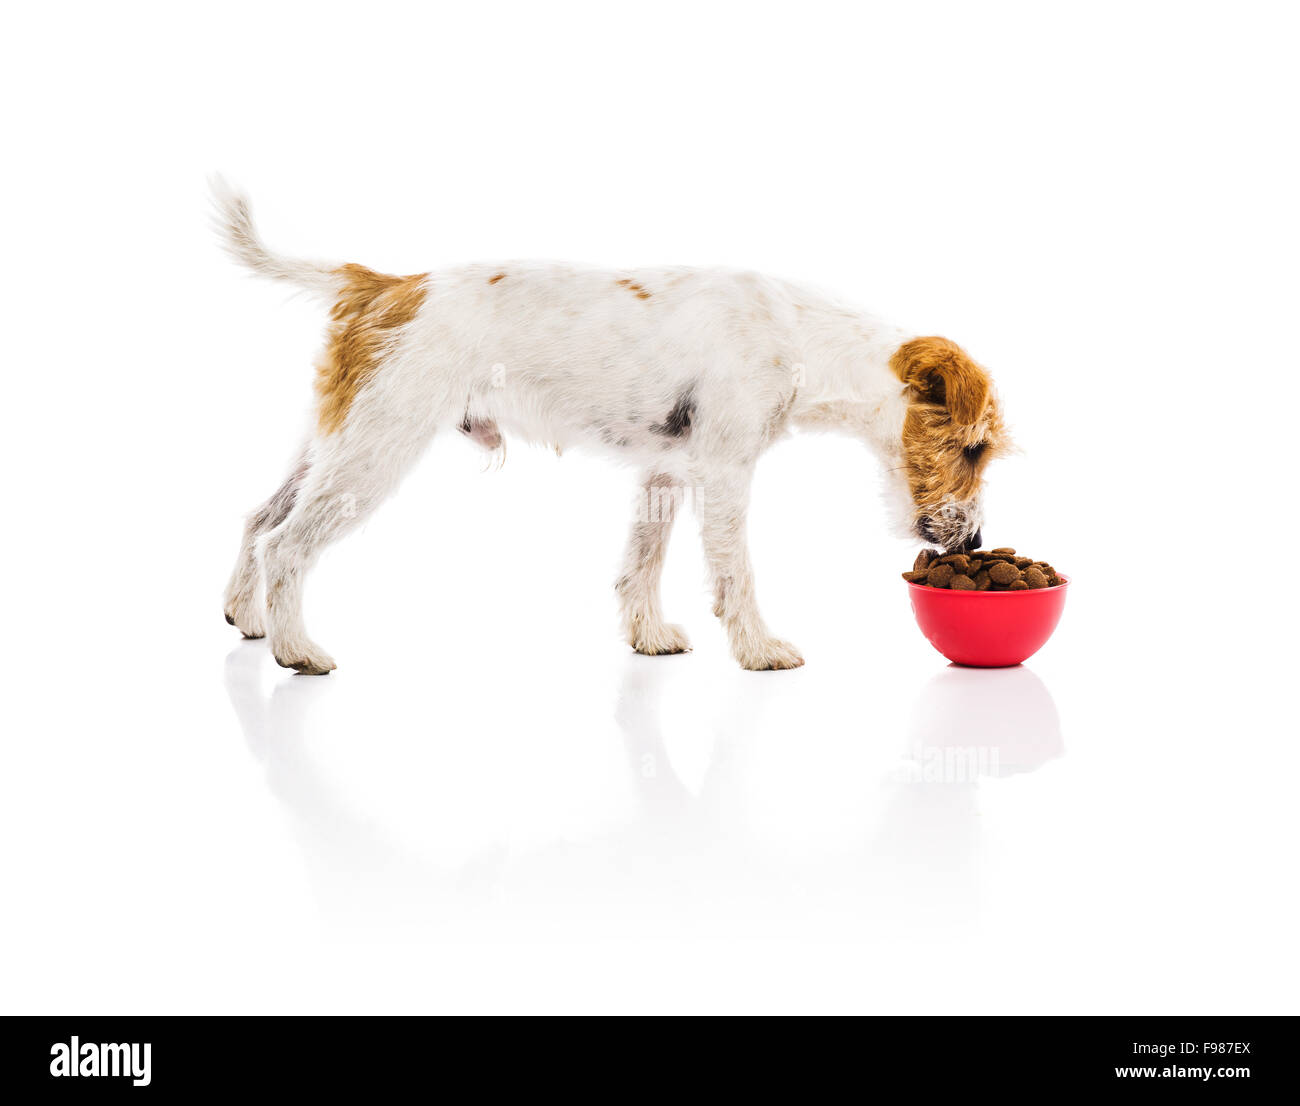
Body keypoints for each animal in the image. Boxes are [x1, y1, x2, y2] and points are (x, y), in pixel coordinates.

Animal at [213, 181, 1008, 675]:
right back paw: (296, 649)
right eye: (972, 449)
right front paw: (758, 649)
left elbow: (640, 564)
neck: (801, 338)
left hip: (333, 443)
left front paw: (647, 637)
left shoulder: (665, 471)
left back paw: (247, 619)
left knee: (258, 519)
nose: (974, 543)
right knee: (287, 544)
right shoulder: (724, 475)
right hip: (374, 452)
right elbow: (736, 574)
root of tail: (386, 285)